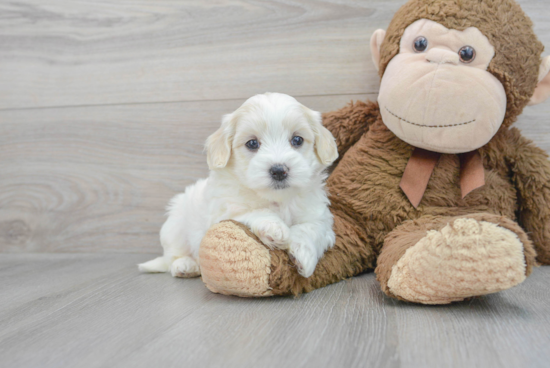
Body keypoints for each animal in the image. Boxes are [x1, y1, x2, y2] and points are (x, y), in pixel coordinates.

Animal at [139, 92, 336, 278]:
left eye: (297, 140)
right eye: (252, 143)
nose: (279, 170)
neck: (277, 200)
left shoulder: (320, 217)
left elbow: (311, 228)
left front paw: (303, 253)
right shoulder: (225, 212)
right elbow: (253, 211)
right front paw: (274, 228)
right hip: (176, 225)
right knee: (172, 256)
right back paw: (185, 265)